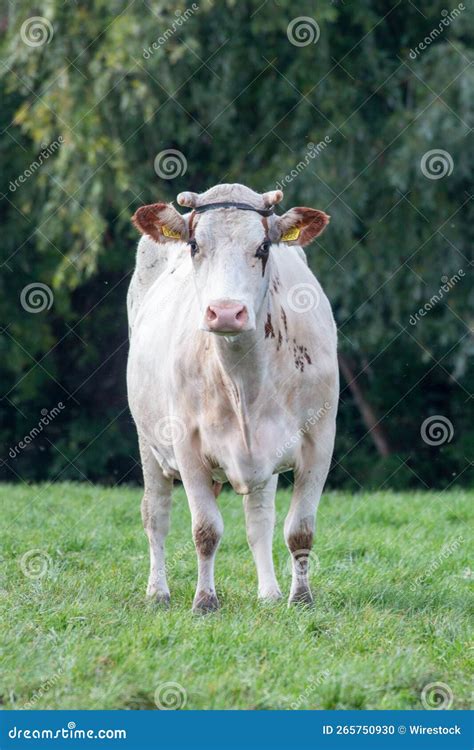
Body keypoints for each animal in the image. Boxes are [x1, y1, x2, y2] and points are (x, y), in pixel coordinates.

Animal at [128, 185, 338, 612]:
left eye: (263, 247)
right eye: (194, 244)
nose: (225, 312)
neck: (246, 380)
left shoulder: (320, 441)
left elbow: (299, 530)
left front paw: (300, 599)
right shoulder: (188, 444)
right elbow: (205, 530)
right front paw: (204, 600)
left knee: (259, 520)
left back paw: (269, 593)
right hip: (148, 441)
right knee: (156, 514)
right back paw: (158, 591)